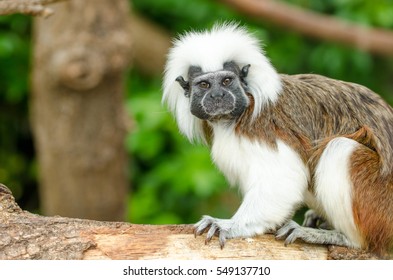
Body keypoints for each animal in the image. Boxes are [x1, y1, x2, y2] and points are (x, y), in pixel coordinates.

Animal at [161, 23, 392, 256]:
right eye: (204, 85)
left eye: (226, 81)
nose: (218, 96)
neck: (229, 120)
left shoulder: (262, 127)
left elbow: (282, 179)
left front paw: (228, 225)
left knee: (340, 148)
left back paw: (341, 238)